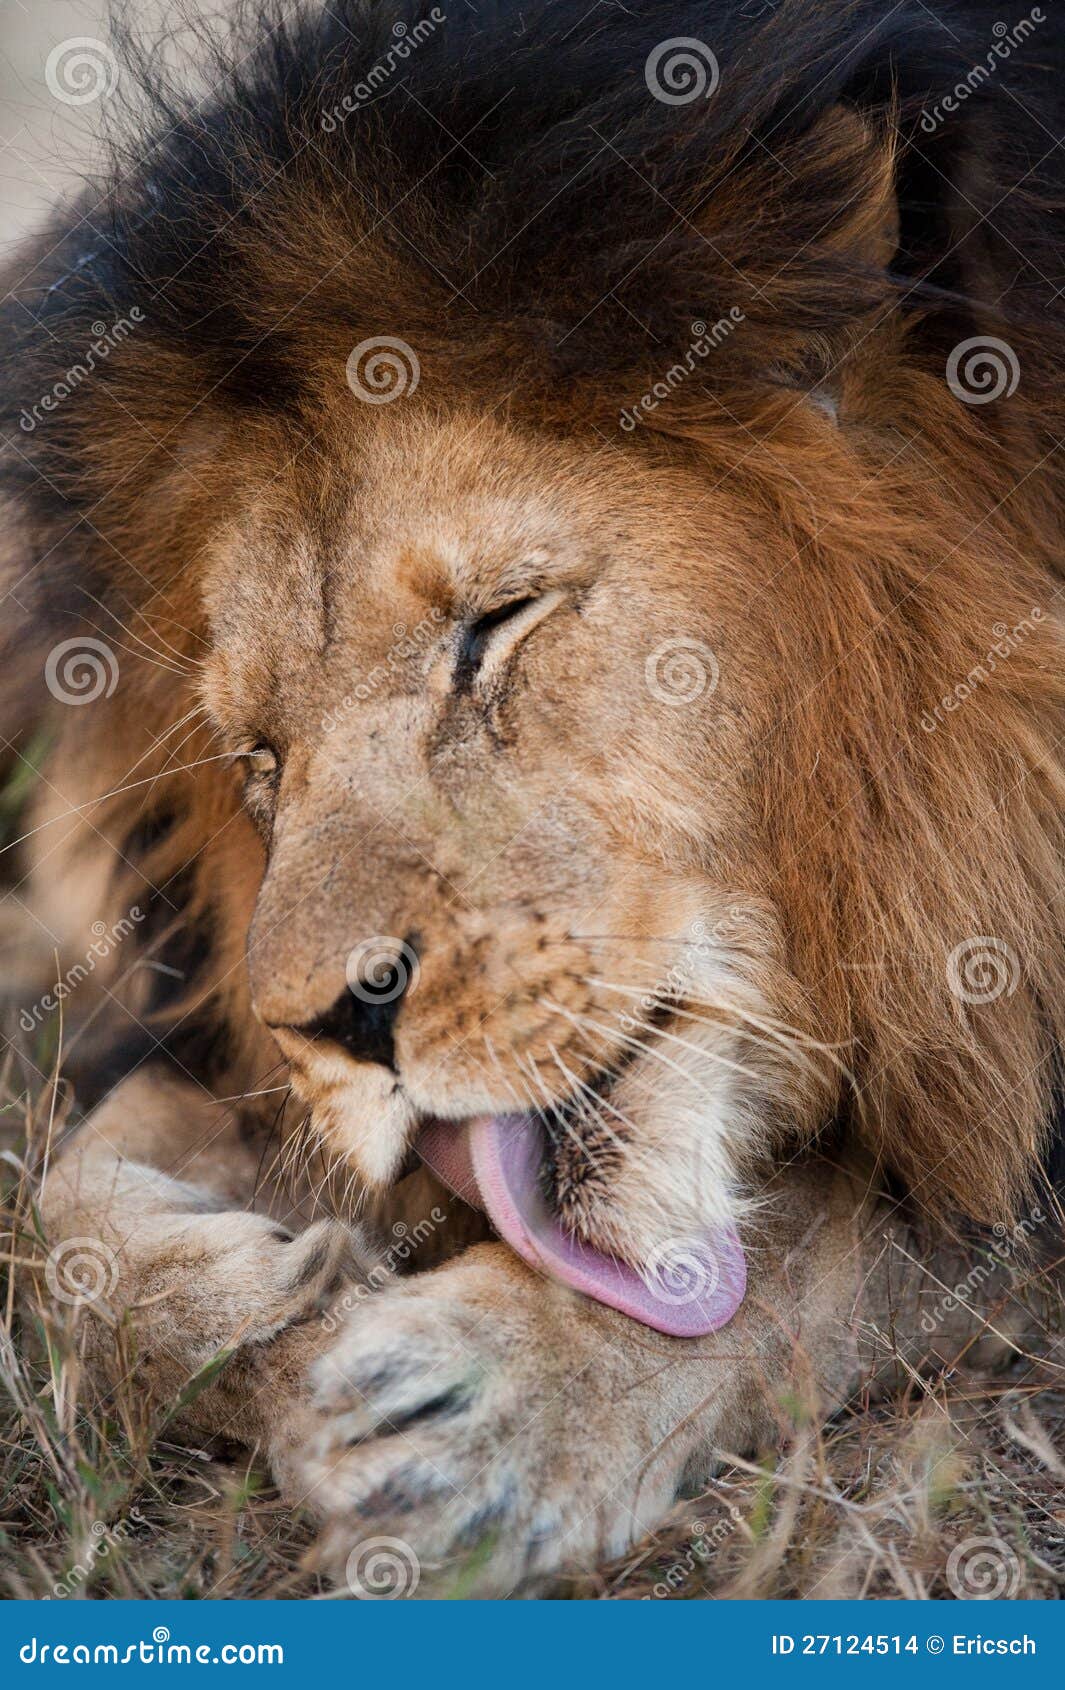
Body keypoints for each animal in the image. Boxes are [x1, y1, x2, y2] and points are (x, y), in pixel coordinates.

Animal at [2, 0, 1063, 1596]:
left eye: (493, 629)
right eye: (262, 760)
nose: (330, 1025)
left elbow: (819, 1253)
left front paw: (485, 1406)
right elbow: (56, 1222)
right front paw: (253, 1303)